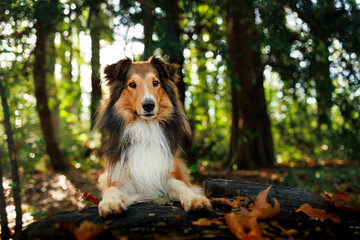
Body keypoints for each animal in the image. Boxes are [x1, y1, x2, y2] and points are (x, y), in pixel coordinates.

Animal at [96, 56, 211, 218]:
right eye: (132, 84)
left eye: (155, 83)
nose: (148, 105)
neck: (146, 129)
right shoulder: (117, 178)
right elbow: (110, 190)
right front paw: (109, 204)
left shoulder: (169, 174)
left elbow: (182, 186)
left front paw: (195, 199)